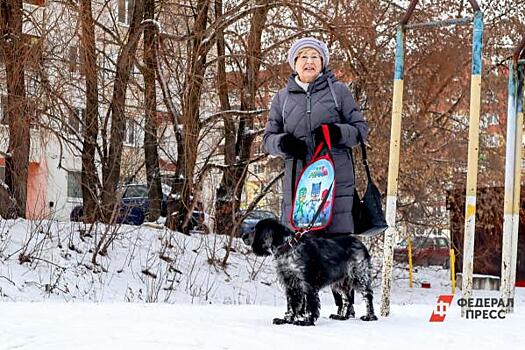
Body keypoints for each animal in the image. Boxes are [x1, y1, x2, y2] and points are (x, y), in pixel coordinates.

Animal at [242, 217, 376, 326]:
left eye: (255, 229)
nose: (243, 236)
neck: (288, 248)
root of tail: (361, 243)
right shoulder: (290, 284)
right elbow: (291, 304)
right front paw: (286, 320)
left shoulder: (307, 283)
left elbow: (310, 305)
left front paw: (306, 321)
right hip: (340, 282)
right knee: (347, 299)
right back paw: (342, 316)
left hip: (359, 276)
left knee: (367, 295)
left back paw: (370, 316)